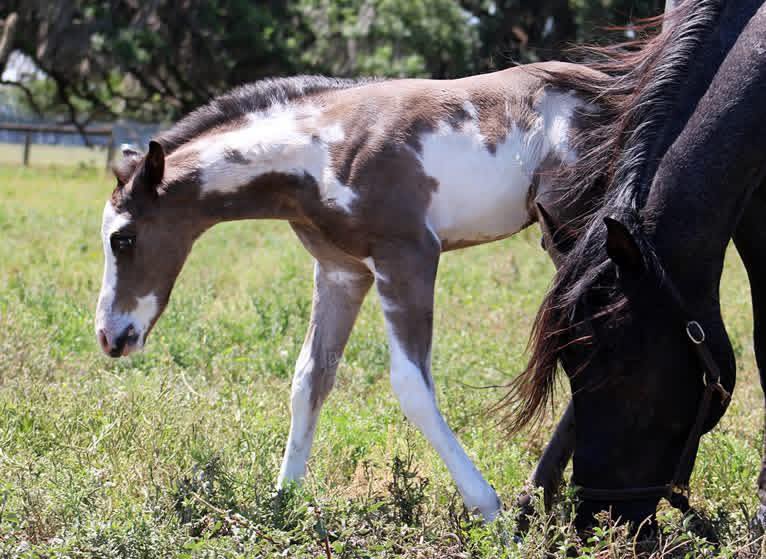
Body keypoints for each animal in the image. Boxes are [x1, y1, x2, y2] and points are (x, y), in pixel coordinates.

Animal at [92, 61, 620, 520]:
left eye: (123, 239)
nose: (110, 336)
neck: (323, 152)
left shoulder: (407, 257)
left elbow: (411, 386)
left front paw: (488, 508)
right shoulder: (340, 271)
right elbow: (311, 377)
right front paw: (284, 500)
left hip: (574, 235)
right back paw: (546, 499)